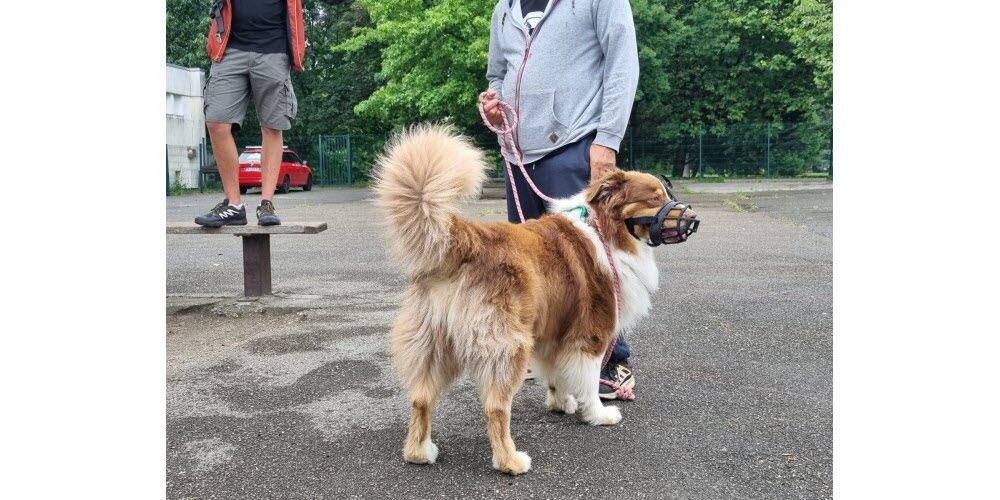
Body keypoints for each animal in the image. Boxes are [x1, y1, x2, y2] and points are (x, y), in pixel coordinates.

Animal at [372, 123, 692, 474]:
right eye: (653, 198)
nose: (693, 219)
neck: (602, 228)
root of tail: (465, 237)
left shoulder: (554, 329)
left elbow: (556, 373)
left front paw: (561, 402)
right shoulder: (591, 332)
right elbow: (588, 380)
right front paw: (597, 414)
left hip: (434, 342)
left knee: (420, 398)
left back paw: (419, 452)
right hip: (508, 344)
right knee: (495, 407)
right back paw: (510, 461)